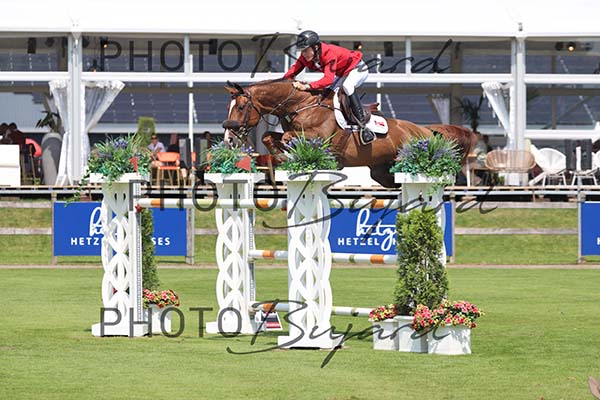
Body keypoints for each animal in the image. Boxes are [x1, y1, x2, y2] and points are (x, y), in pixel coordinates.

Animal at [222, 79, 477, 187]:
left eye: (241, 107)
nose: (229, 139)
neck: (301, 104)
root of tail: (426, 130)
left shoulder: (316, 137)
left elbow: (286, 138)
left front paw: (288, 155)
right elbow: (268, 137)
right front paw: (282, 157)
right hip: (381, 172)